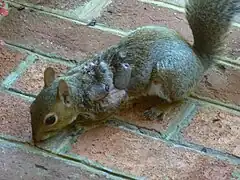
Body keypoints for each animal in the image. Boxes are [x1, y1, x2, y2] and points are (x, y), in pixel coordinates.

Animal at [30, 0, 240, 143]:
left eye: (50, 119)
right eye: (31, 107)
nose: (35, 139)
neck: (80, 87)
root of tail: (198, 61)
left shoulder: (110, 100)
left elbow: (104, 116)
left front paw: (84, 124)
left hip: (168, 74)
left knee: (178, 99)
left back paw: (159, 109)